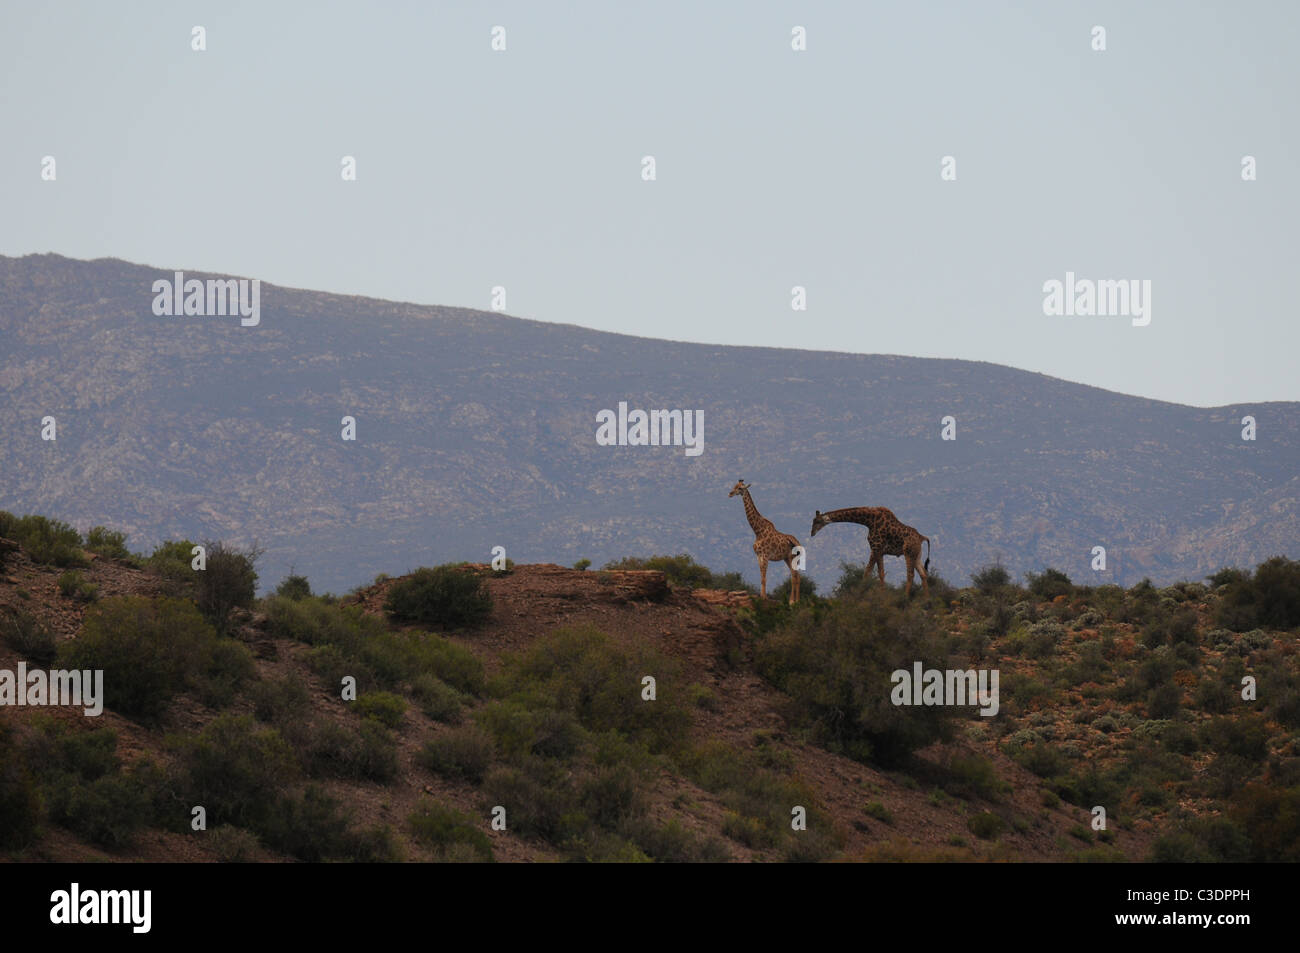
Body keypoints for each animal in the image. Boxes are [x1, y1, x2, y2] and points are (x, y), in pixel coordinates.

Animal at [733, 475, 800, 603]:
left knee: (794, 576)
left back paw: (792, 602)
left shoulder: (765, 555)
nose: (730, 493)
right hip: (786, 558)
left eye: (740, 488)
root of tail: (799, 543)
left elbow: (764, 577)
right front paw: (761, 596)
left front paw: (764, 597)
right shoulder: (759, 556)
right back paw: (795, 601)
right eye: (734, 486)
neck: (758, 531)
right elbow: (762, 577)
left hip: (791, 557)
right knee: (796, 575)